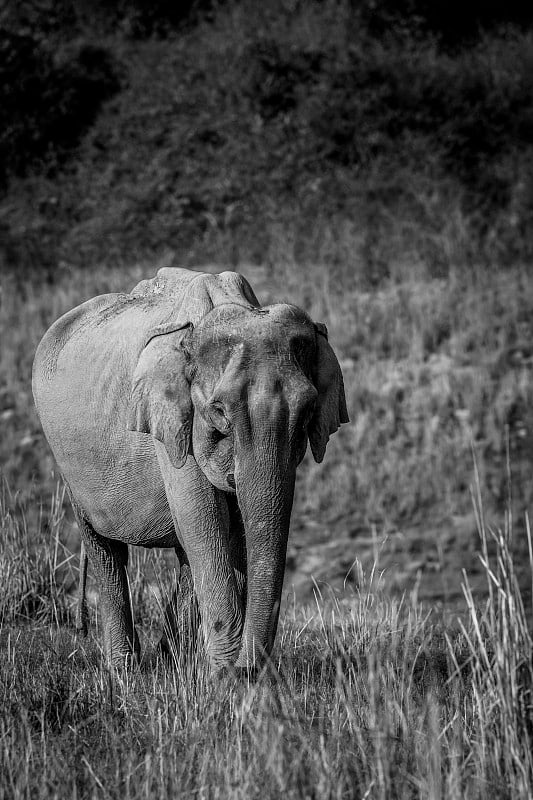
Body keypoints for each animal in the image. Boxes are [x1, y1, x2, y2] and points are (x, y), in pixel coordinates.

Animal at [33, 268, 350, 668]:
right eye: (219, 412)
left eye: (308, 411)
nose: (250, 670)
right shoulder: (168, 423)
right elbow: (204, 520)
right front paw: (224, 675)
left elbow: (230, 528)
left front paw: (223, 672)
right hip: (69, 464)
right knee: (106, 549)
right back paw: (124, 670)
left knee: (182, 551)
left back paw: (168, 660)